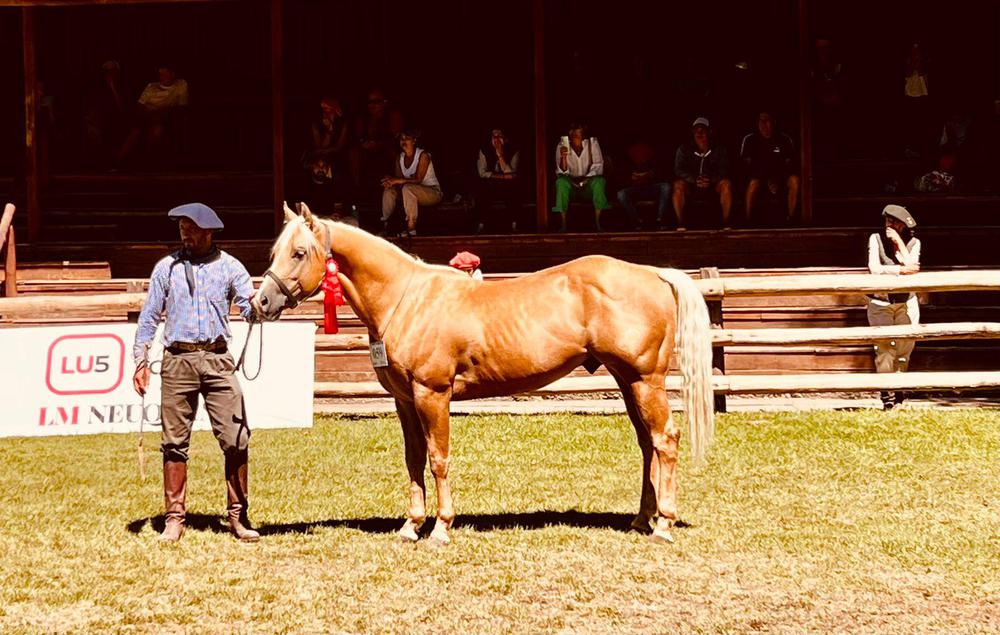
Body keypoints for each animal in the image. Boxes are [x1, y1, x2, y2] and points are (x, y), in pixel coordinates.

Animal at [253, 203, 714, 545]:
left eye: (299, 252)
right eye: (274, 252)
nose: (261, 302)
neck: (407, 299)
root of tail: (654, 273)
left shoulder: (432, 394)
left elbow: (438, 458)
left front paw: (441, 529)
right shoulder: (404, 400)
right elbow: (413, 459)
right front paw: (410, 526)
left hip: (645, 380)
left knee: (665, 440)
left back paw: (664, 524)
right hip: (626, 379)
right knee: (646, 444)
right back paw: (642, 519)